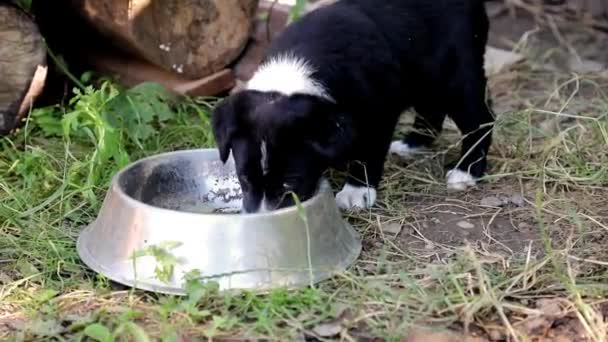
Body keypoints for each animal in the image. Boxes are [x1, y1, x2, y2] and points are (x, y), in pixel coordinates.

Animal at [211, 0, 492, 214]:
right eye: (244, 178)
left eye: (290, 183)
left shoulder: (379, 111)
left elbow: (368, 153)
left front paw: (356, 191)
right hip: (423, 77)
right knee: (431, 109)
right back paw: (413, 144)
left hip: (455, 75)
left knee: (480, 119)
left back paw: (467, 171)